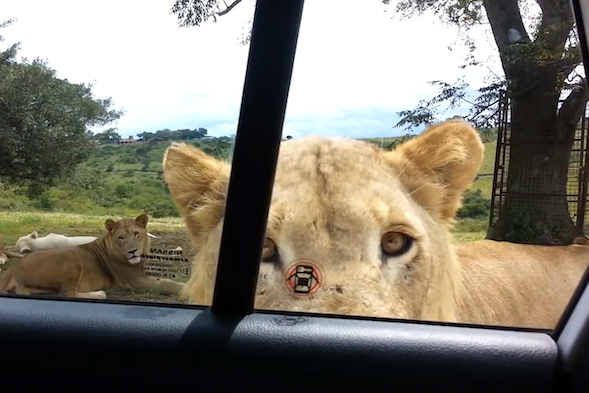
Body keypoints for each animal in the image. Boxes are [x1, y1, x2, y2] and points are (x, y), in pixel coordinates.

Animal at [0, 213, 185, 298]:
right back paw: (99, 293)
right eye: (121, 237)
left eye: (136, 234)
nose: (132, 251)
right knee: (67, 293)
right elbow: (168, 284)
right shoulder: (137, 280)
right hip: (71, 258)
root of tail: (12, 270)